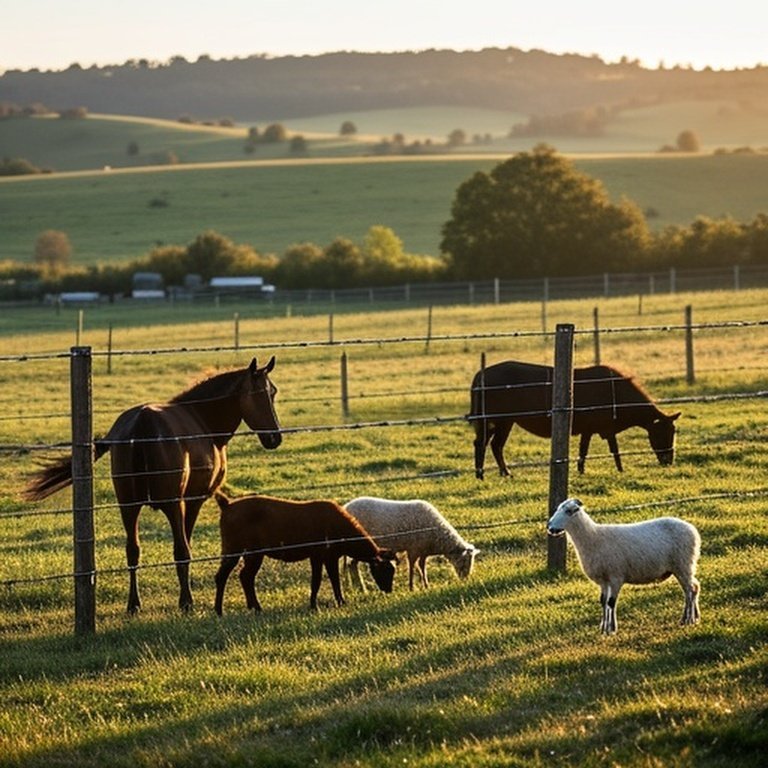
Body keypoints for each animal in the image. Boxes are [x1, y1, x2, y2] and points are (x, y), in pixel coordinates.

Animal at [23, 357, 282, 613]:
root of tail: (141, 424)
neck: (202, 420)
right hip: (171, 504)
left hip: (128, 505)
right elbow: (185, 546)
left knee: (132, 550)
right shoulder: (192, 501)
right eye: (259, 393)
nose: (275, 438)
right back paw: (185, 601)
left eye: (273, 392)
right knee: (180, 550)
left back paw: (133, 603)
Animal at [213, 492, 397, 614]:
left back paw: (249, 607)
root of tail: (227, 504)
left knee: (243, 577)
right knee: (231, 576)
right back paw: (226, 610)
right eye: (385, 571)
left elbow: (320, 580)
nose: (388, 590)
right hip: (240, 549)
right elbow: (329, 579)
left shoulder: (319, 556)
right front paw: (336, 602)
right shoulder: (326, 555)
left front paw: (317, 604)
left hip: (242, 551)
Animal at [344, 496, 478, 590]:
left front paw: (426, 585)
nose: (465, 579)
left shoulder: (423, 551)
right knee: (352, 565)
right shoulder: (413, 549)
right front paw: (412, 587)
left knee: (352, 565)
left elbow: (422, 567)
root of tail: (346, 507)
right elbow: (412, 567)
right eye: (465, 561)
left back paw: (359, 588)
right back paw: (361, 588)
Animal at [469, 360, 680, 479]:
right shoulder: (602, 426)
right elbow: (611, 450)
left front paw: (584, 470)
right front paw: (618, 470)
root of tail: (480, 374)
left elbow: (588, 451)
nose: (668, 460)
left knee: (495, 445)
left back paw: (504, 473)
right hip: (496, 419)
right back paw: (480, 474)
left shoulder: (594, 428)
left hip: (505, 421)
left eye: (673, 431)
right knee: (482, 443)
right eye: (662, 433)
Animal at [547, 497, 701, 634]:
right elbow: (603, 601)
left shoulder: (616, 576)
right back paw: (692, 618)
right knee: (693, 588)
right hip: (683, 567)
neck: (593, 537)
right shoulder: (604, 580)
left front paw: (611, 629)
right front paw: (603, 628)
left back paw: (688, 619)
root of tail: (693, 530)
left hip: (683, 565)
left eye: (568, 511)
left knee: (690, 590)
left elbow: (611, 602)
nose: (549, 527)